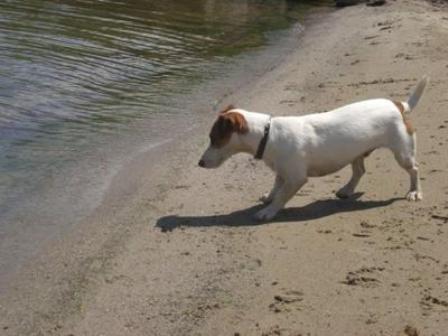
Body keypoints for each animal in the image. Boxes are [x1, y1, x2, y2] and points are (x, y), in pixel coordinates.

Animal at [198, 77, 428, 222]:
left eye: (213, 139)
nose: (199, 163)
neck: (267, 133)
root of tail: (397, 105)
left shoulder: (296, 178)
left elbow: (282, 196)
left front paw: (269, 211)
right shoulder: (282, 172)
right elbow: (276, 187)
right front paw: (269, 197)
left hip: (403, 153)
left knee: (414, 169)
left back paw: (414, 191)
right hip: (355, 152)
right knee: (359, 171)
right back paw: (347, 189)